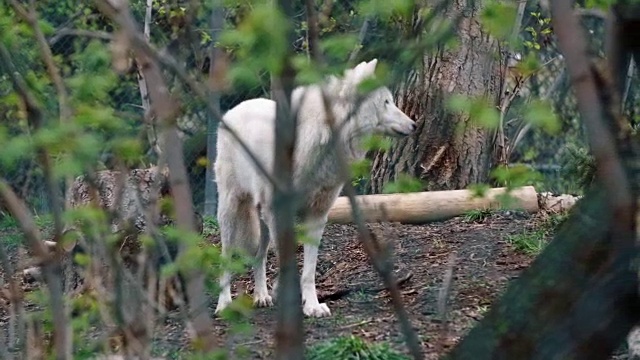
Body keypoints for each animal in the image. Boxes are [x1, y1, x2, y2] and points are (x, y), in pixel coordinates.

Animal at [212, 57, 418, 316]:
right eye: (386, 102)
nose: (414, 124)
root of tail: (235, 109)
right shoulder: (280, 214)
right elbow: (287, 259)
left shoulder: (318, 214)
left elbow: (309, 269)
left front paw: (312, 305)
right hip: (231, 211)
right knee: (225, 257)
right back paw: (224, 304)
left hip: (262, 220)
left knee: (260, 257)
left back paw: (261, 296)